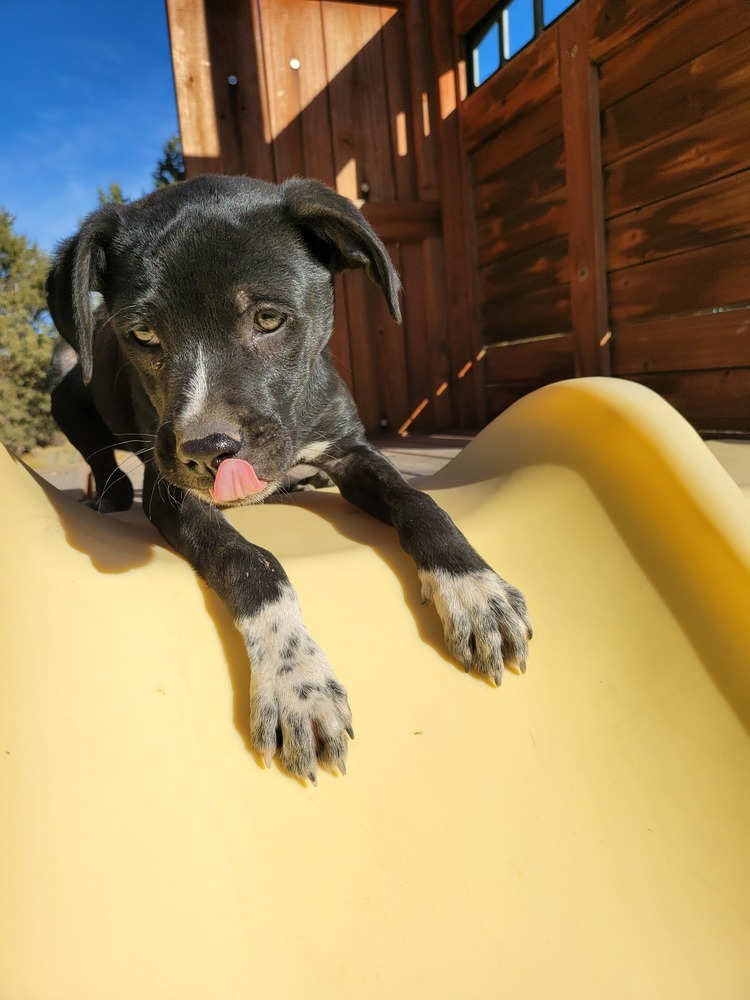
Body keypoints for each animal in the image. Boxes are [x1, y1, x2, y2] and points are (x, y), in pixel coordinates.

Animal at [47, 178, 532, 780]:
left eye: (269, 319)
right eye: (141, 333)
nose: (206, 452)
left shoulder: (351, 451)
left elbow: (418, 501)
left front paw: (474, 590)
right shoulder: (171, 493)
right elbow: (251, 561)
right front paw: (295, 682)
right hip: (66, 378)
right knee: (102, 461)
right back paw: (108, 500)